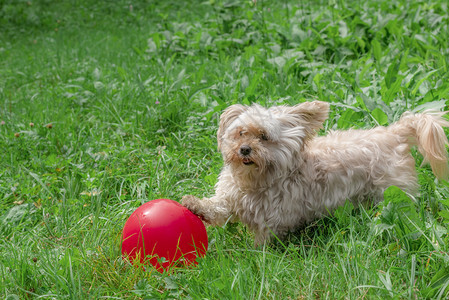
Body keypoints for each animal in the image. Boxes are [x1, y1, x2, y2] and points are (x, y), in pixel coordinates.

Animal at [180, 101, 446, 246]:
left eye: (264, 137)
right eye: (241, 132)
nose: (244, 149)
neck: (256, 181)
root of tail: (395, 133)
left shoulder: (273, 221)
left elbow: (263, 241)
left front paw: (255, 256)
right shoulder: (231, 197)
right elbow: (217, 208)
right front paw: (194, 204)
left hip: (391, 195)